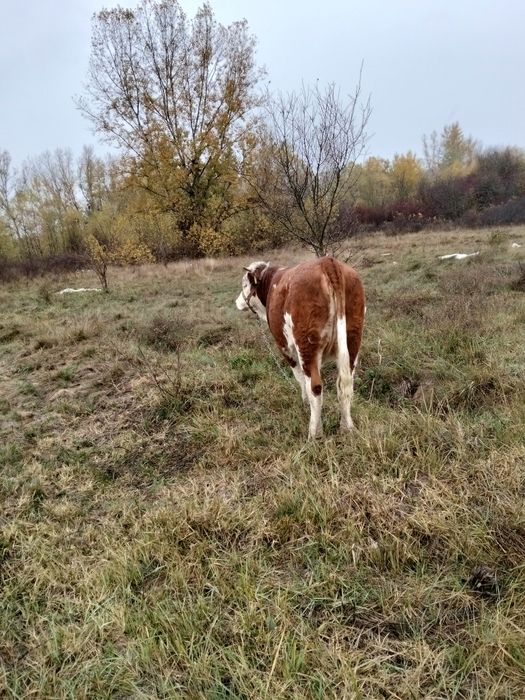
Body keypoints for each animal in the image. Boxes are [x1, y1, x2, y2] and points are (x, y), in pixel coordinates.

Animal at [235, 256, 365, 439]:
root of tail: (327, 261)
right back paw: (347, 428)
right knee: (345, 385)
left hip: (306, 344)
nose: (238, 302)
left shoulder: (285, 347)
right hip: (352, 338)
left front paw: (304, 403)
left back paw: (314, 433)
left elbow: (299, 378)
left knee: (315, 388)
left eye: (244, 285)